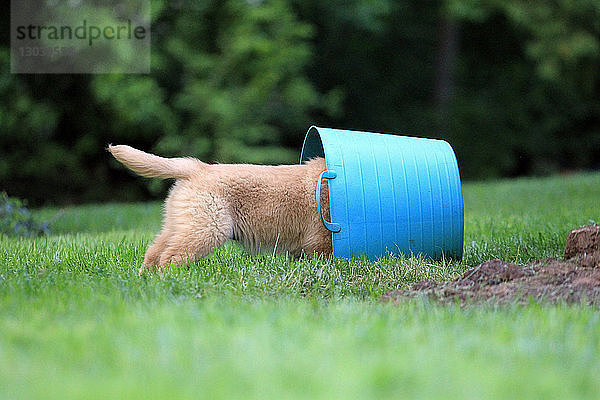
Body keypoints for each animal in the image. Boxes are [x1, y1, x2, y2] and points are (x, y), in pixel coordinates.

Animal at [109, 145, 332, 274]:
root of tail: (198, 168)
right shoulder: (321, 237)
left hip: (180, 224)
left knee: (154, 251)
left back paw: (146, 278)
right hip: (209, 228)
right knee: (171, 257)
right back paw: (173, 280)